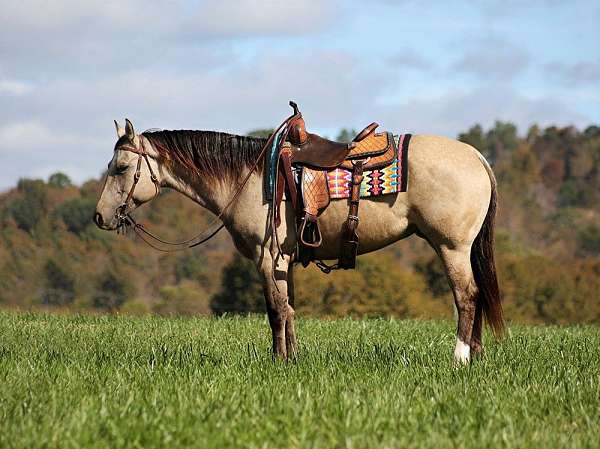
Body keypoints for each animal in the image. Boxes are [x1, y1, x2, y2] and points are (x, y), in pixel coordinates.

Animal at [94, 103, 504, 362]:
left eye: (121, 167)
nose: (100, 216)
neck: (249, 177)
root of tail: (477, 157)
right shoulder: (283, 261)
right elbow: (289, 308)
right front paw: (292, 359)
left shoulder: (266, 257)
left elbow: (275, 310)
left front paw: (278, 362)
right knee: (476, 296)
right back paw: (477, 356)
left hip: (451, 247)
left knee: (467, 297)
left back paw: (460, 357)